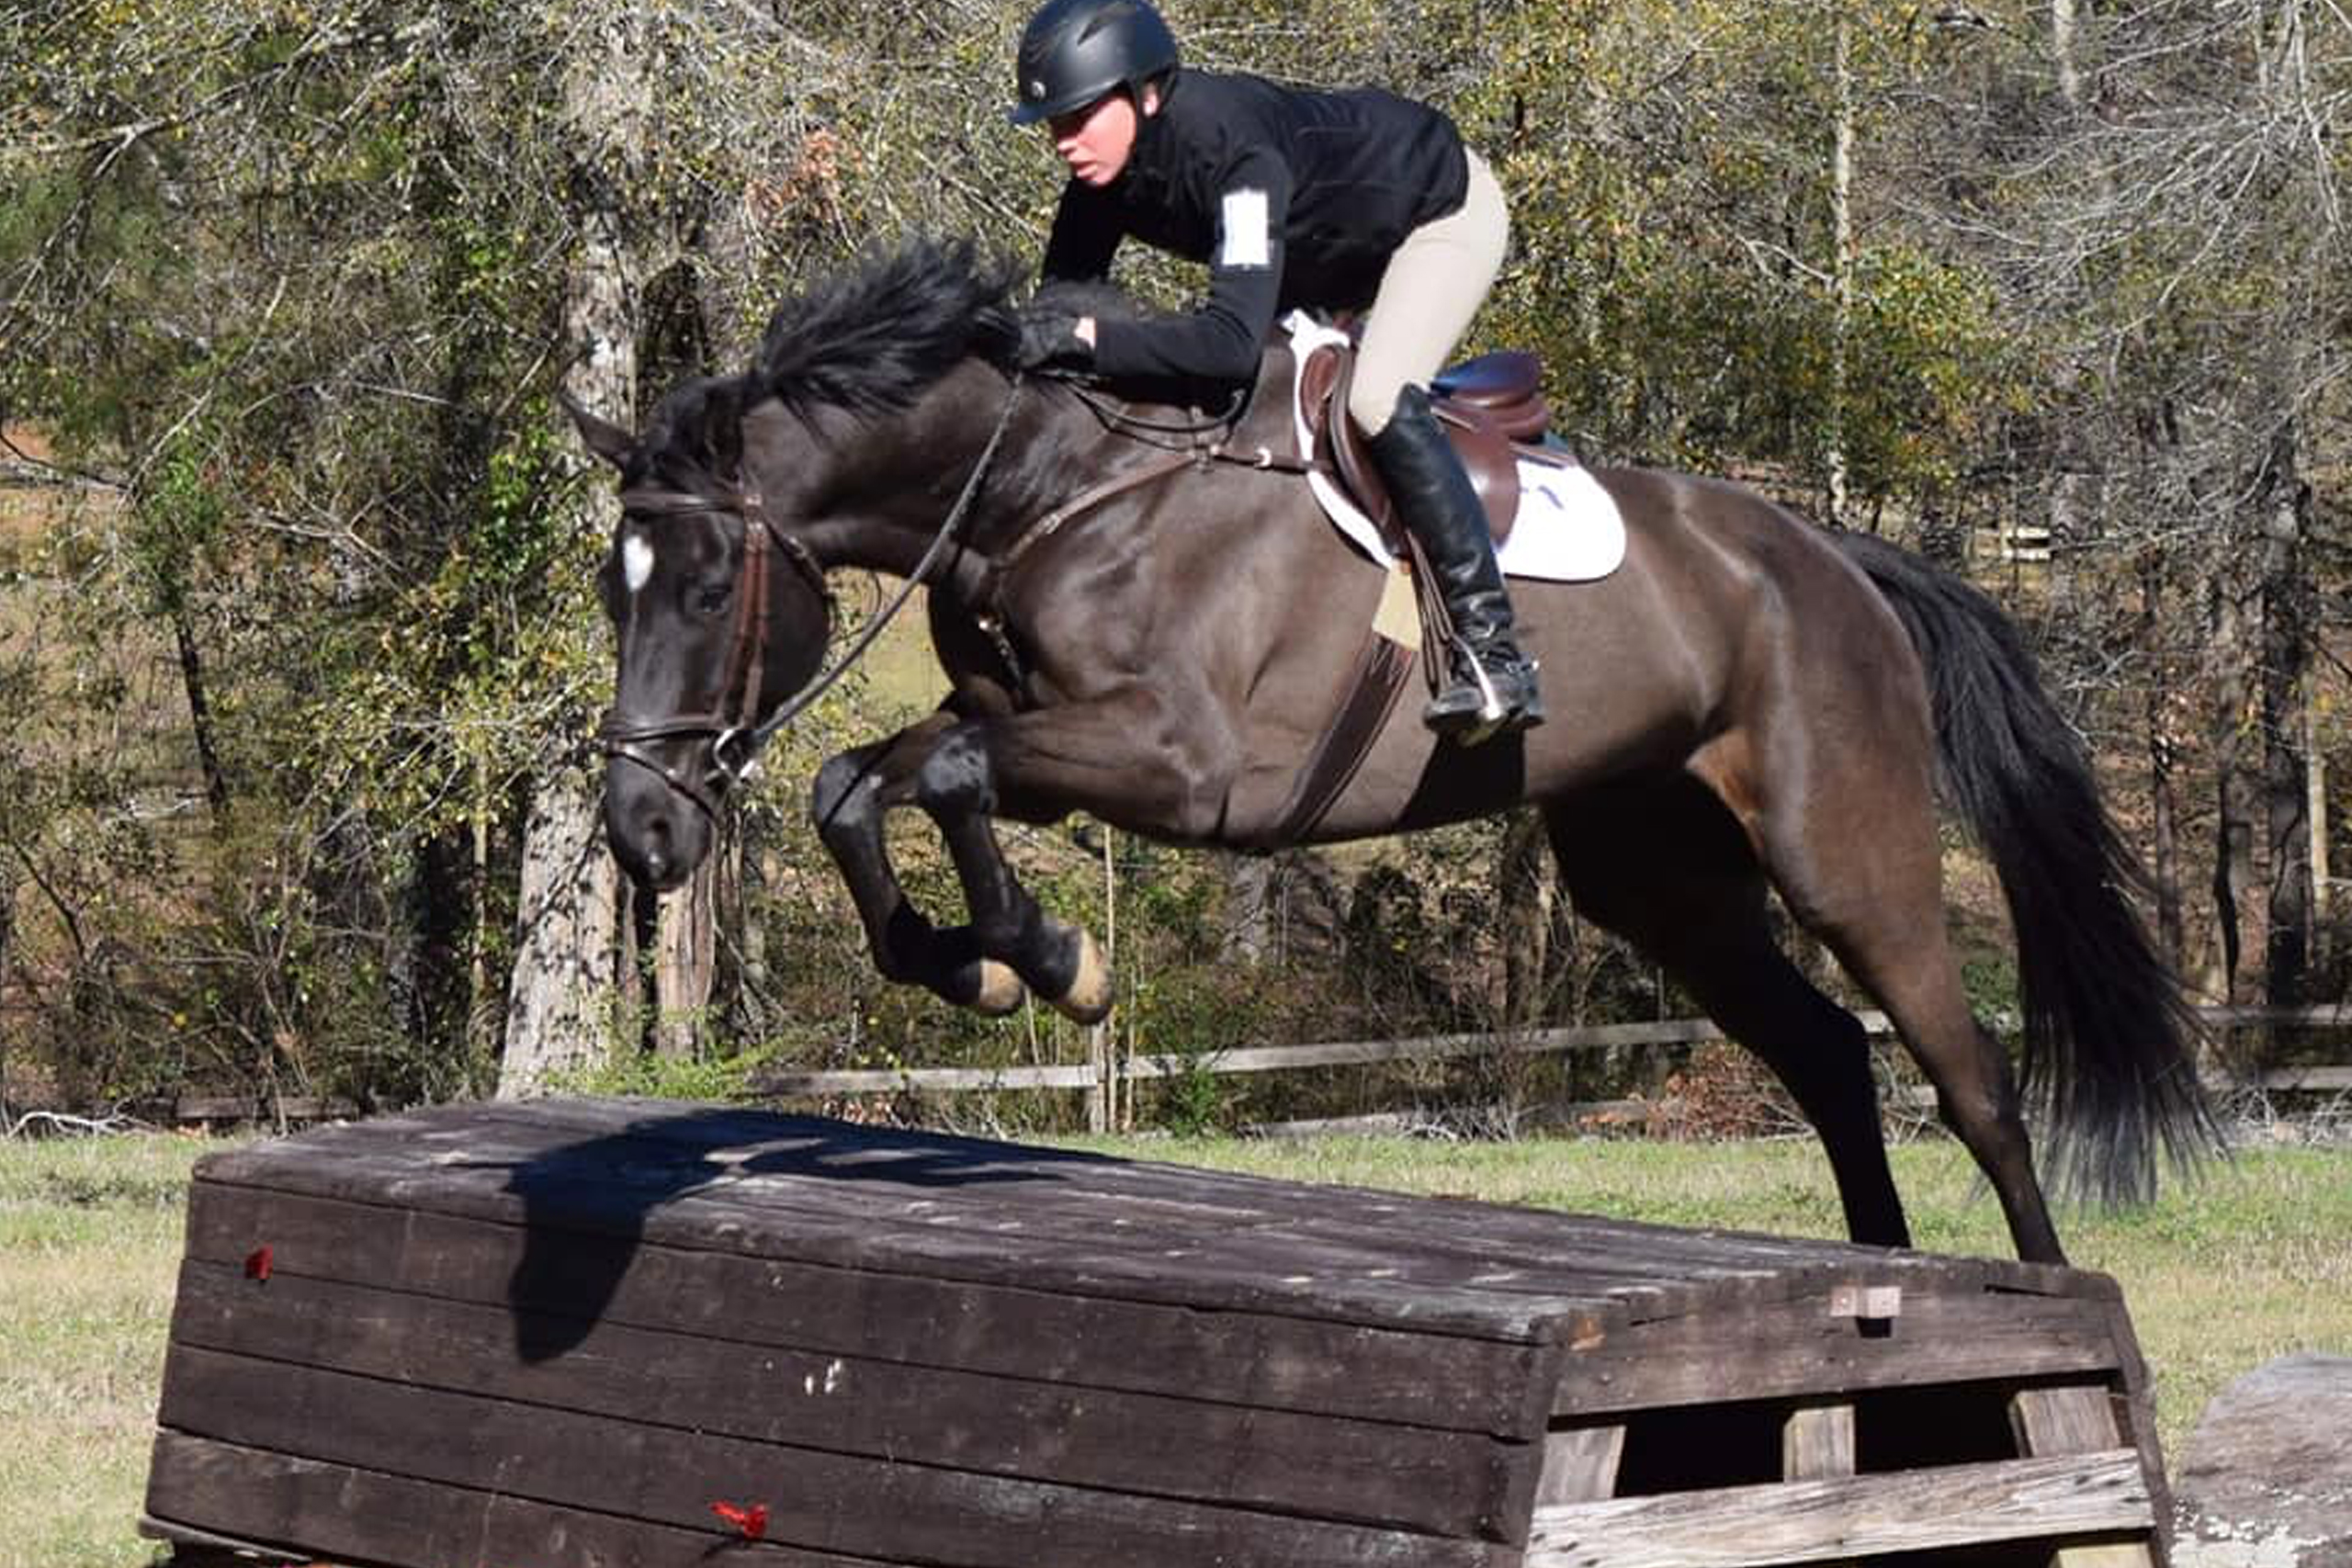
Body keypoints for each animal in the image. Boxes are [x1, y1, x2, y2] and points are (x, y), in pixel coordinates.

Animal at [564, 236, 2201, 1259]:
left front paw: (1046, 956)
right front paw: (972, 962)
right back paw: (1884, 1292)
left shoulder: (1189, 768)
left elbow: (945, 778)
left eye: (703, 588)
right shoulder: (1025, 718)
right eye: (609, 584)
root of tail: (1830, 556)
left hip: (1844, 850)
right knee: (1829, 1058)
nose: (643, 829)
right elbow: (861, 780)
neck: (1047, 482)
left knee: (1972, 1076)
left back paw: (2043, 1297)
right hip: (1660, 878)